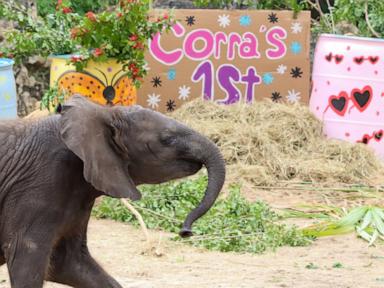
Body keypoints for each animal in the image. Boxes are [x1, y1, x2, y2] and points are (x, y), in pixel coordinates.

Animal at [0, 95, 225, 286]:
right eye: (167, 139)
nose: (185, 231)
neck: (107, 113)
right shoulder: (39, 186)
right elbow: (27, 262)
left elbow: (69, 263)